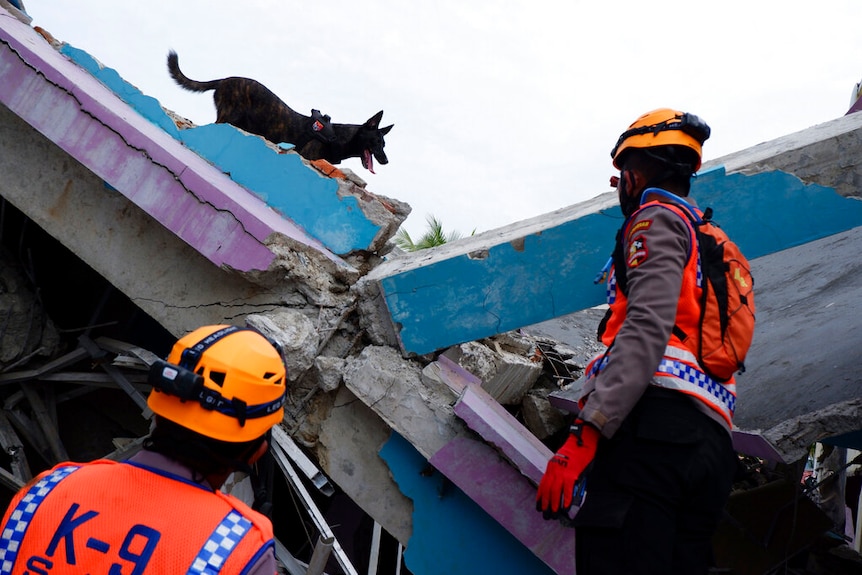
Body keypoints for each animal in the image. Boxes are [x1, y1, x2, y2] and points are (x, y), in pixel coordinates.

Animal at [166, 51, 394, 173]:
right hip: (229, 116)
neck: (339, 137)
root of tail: (224, 80)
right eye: (376, 141)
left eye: (383, 144)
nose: (385, 161)